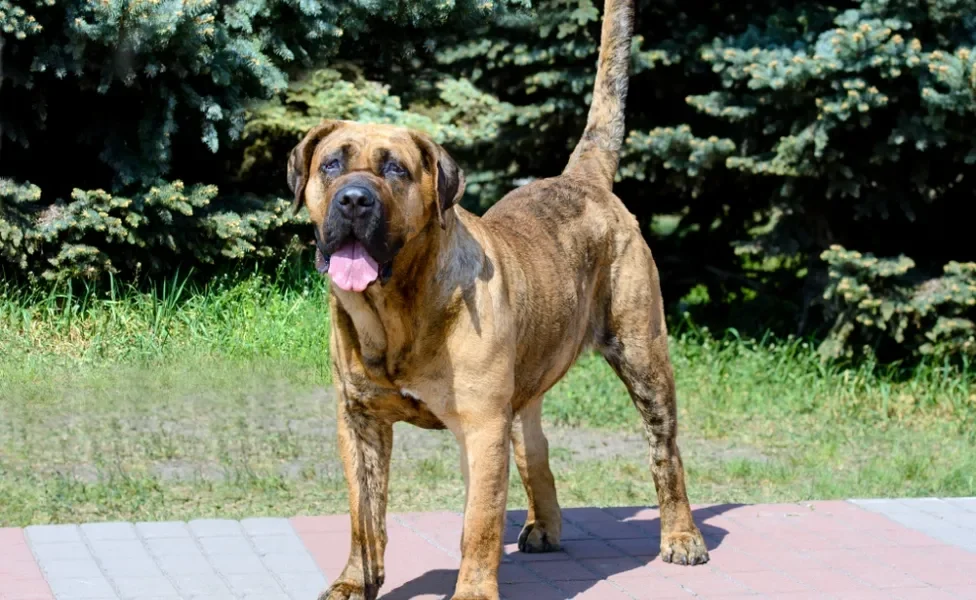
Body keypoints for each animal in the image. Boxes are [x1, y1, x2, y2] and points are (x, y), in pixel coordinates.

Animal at [286, 0, 704, 596]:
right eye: (332, 165)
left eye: (395, 168)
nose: (355, 200)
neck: (396, 311)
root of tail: (584, 179)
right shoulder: (359, 420)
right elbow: (364, 516)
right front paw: (353, 582)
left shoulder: (482, 426)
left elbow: (479, 522)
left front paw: (473, 590)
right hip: (526, 386)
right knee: (535, 451)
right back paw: (544, 527)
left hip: (643, 354)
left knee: (665, 451)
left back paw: (682, 537)